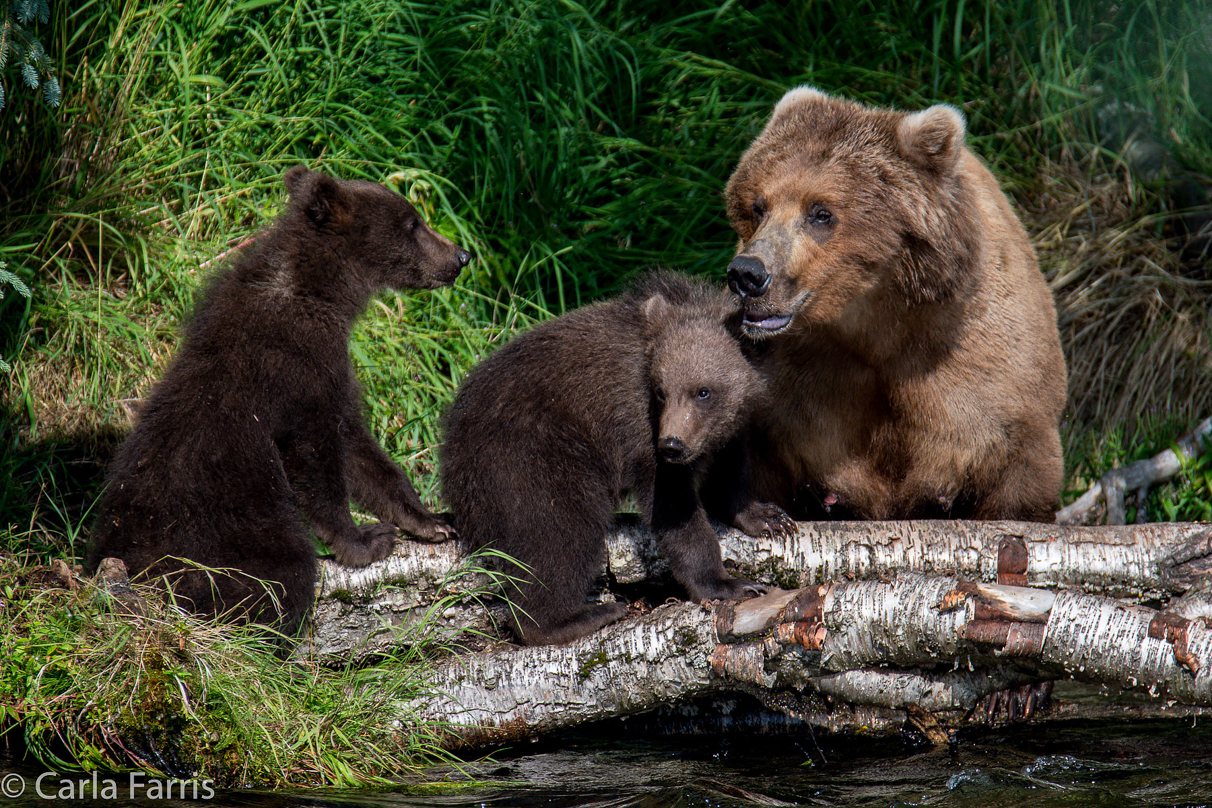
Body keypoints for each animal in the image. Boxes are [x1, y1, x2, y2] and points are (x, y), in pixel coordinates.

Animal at [722, 87, 1066, 518]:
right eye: (758, 205)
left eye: (821, 213)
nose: (748, 274)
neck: (877, 328)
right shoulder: (791, 388)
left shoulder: (987, 377)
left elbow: (1016, 476)